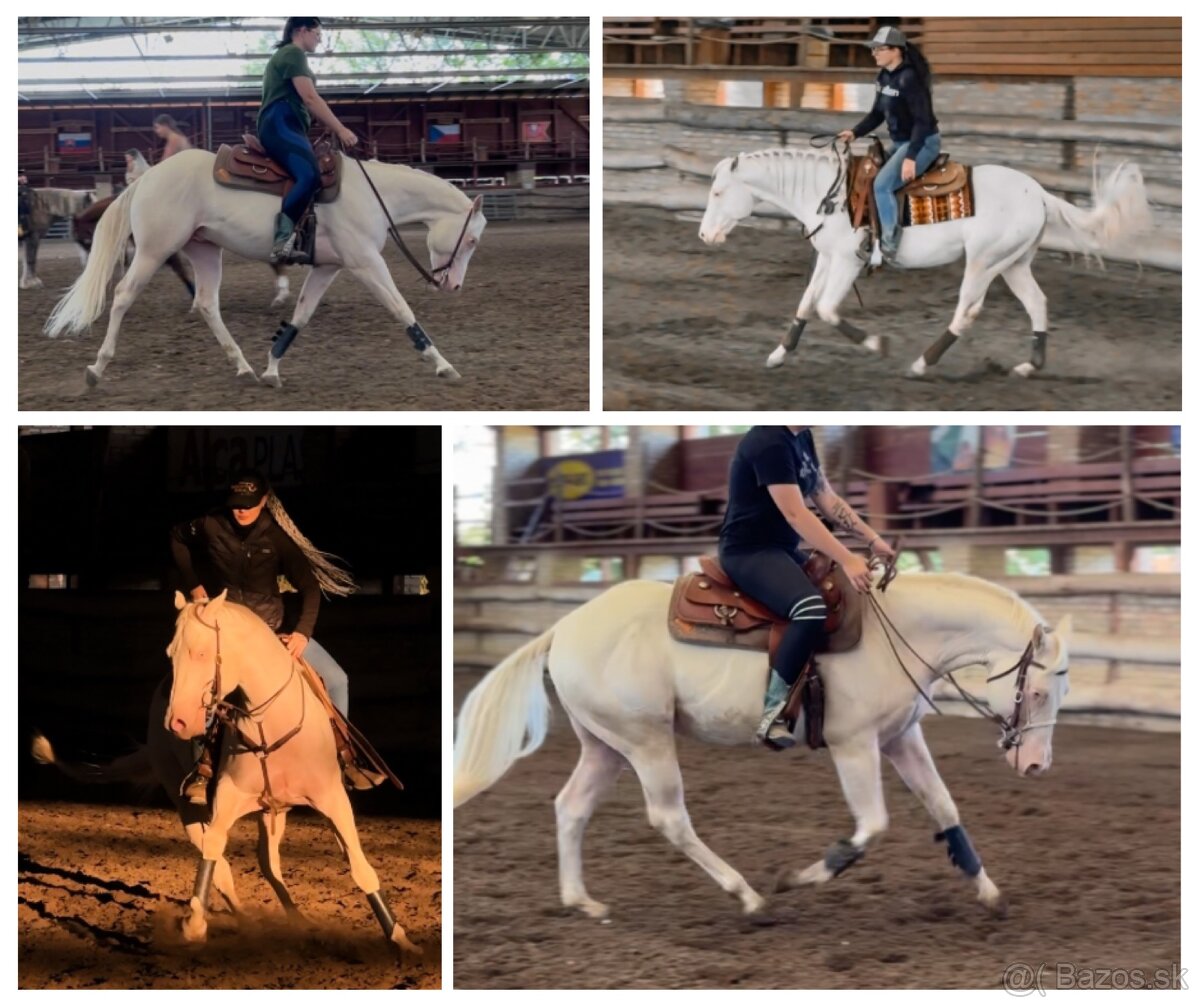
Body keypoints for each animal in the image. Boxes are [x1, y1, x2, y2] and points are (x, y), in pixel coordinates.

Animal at [33, 590, 421, 954]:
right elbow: (213, 851)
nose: (178, 721)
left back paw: (298, 921)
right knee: (221, 862)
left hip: (274, 811)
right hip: (185, 801)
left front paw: (401, 939)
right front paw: (194, 926)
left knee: (269, 863)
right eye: (171, 653)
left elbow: (358, 865)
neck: (268, 721)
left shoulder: (332, 798)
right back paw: (249, 921)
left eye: (203, 653)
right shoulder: (227, 797)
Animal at [44, 147, 487, 388]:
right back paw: (97, 367)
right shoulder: (367, 264)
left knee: (207, 304)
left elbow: (300, 317)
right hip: (155, 250)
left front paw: (272, 368)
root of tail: (147, 177)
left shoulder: (328, 268)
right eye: (471, 240)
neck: (372, 194)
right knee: (122, 296)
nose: (454, 286)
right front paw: (443, 364)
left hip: (205, 251)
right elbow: (402, 310)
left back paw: (242, 367)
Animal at [455, 571, 1071, 919]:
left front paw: (990, 894)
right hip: (645, 740)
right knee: (669, 818)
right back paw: (748, 896)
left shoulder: (900, 737)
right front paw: (800, 878)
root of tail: (564, 628)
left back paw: (581, 901)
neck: (894, 632)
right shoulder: (854, 745)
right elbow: (872, 825)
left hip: (605, 745)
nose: (1037, 765)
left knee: (572, 808)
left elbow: (945, 809)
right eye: (1039, 690)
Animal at [698, 146, 1153, 378]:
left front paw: (877, 343)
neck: (828, 194)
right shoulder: (826, 257)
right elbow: (806, 305)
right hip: (1013, 263)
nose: (704, 235)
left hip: (984, 261)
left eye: (718, 192)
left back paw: (921, 362)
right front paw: (778, 354)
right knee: (1037, 303)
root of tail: (1039, 193)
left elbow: (826, 308)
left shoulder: (846, 261)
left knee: (966, 312)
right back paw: (1029, 365)